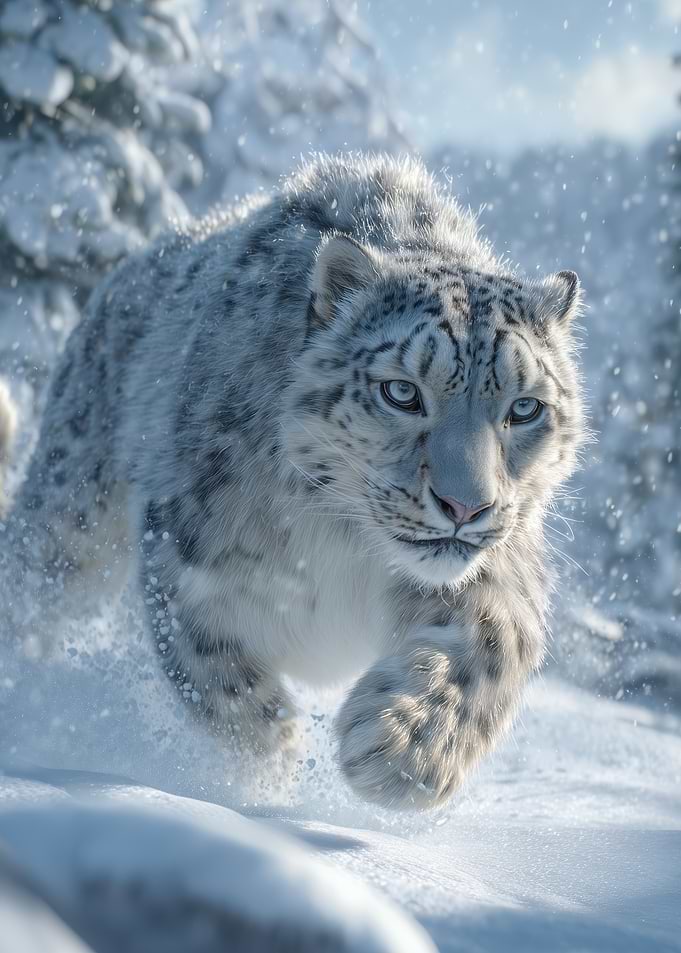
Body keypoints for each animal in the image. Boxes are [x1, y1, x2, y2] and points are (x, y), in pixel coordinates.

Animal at [1, 155, 586, 809]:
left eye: (525, 408)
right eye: (402, 392)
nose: (464, 507)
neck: (342, 545)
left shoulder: (502, 566)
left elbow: (494, 642)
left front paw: (403, 748)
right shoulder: (187, 564)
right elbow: (218, 681)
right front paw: (271, 774)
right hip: (67, 525)